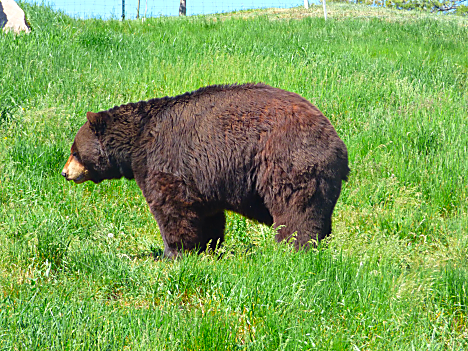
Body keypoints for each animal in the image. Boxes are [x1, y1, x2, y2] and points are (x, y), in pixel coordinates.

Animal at [62, 83, 348, 258]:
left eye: (74, 150)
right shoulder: (203, 178)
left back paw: (292, 248)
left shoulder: (165, 161)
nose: (65, 172)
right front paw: (207, 247)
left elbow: (171, 208)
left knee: (295, 209)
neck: (136, 142)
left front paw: (172, 253)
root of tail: (337, 142)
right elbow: (207, 214)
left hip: (287, 159)